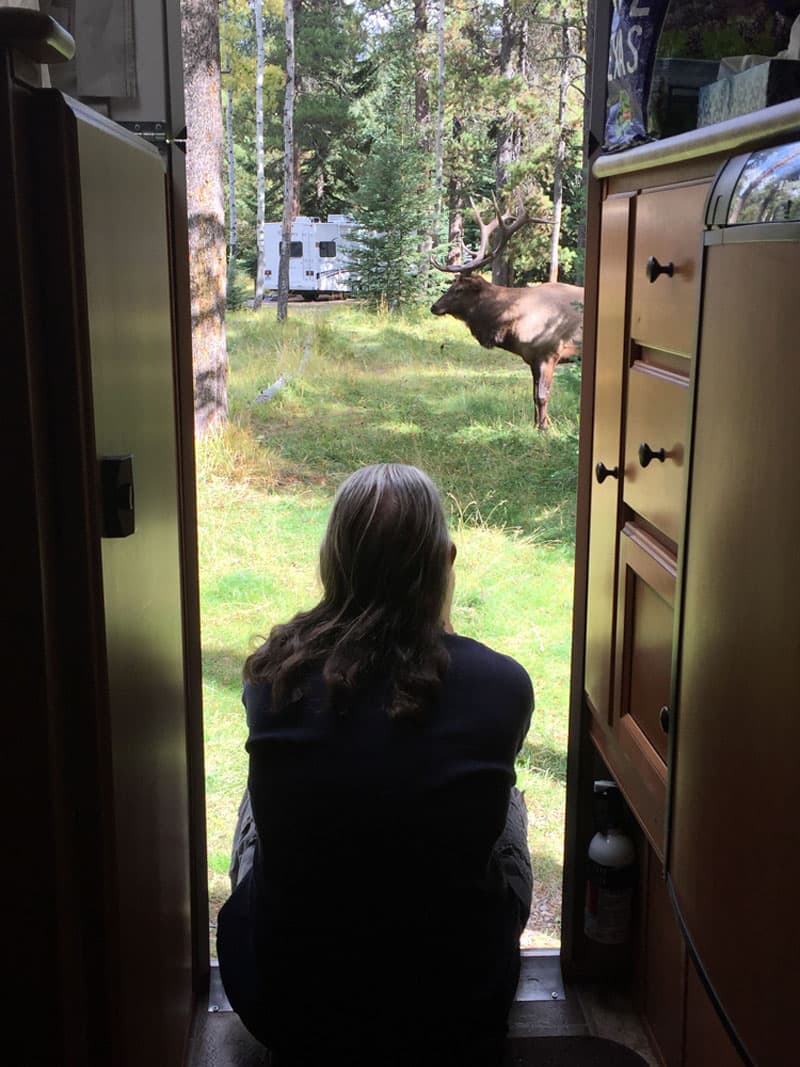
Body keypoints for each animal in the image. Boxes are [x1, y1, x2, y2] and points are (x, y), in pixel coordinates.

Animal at [428, 200, 584, 428]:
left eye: (459, 289)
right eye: (451, 285)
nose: (434, 307)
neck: (513, 324)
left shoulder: (549, 353)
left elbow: (542, 395)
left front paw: (544, 428)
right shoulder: (532, 358)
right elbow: (533, 395)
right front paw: (536, 425)